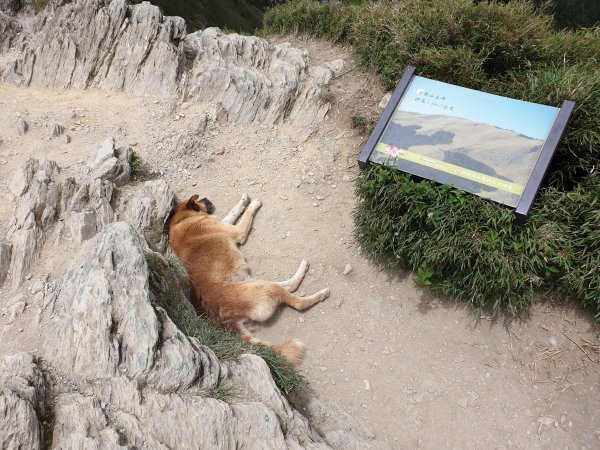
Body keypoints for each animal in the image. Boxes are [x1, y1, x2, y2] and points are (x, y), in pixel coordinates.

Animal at [166, 192, 330, 362]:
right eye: (199, 199)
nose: (207, 199)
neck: (182, 219)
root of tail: (223, 319)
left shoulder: (225, 222)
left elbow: (232, 212)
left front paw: (243, 201)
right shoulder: (237, 231)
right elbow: (246, 215)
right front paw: (253, 205)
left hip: (257, 283)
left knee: (288, 286)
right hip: (264, 288)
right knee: (297, 300)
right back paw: (319, 291)